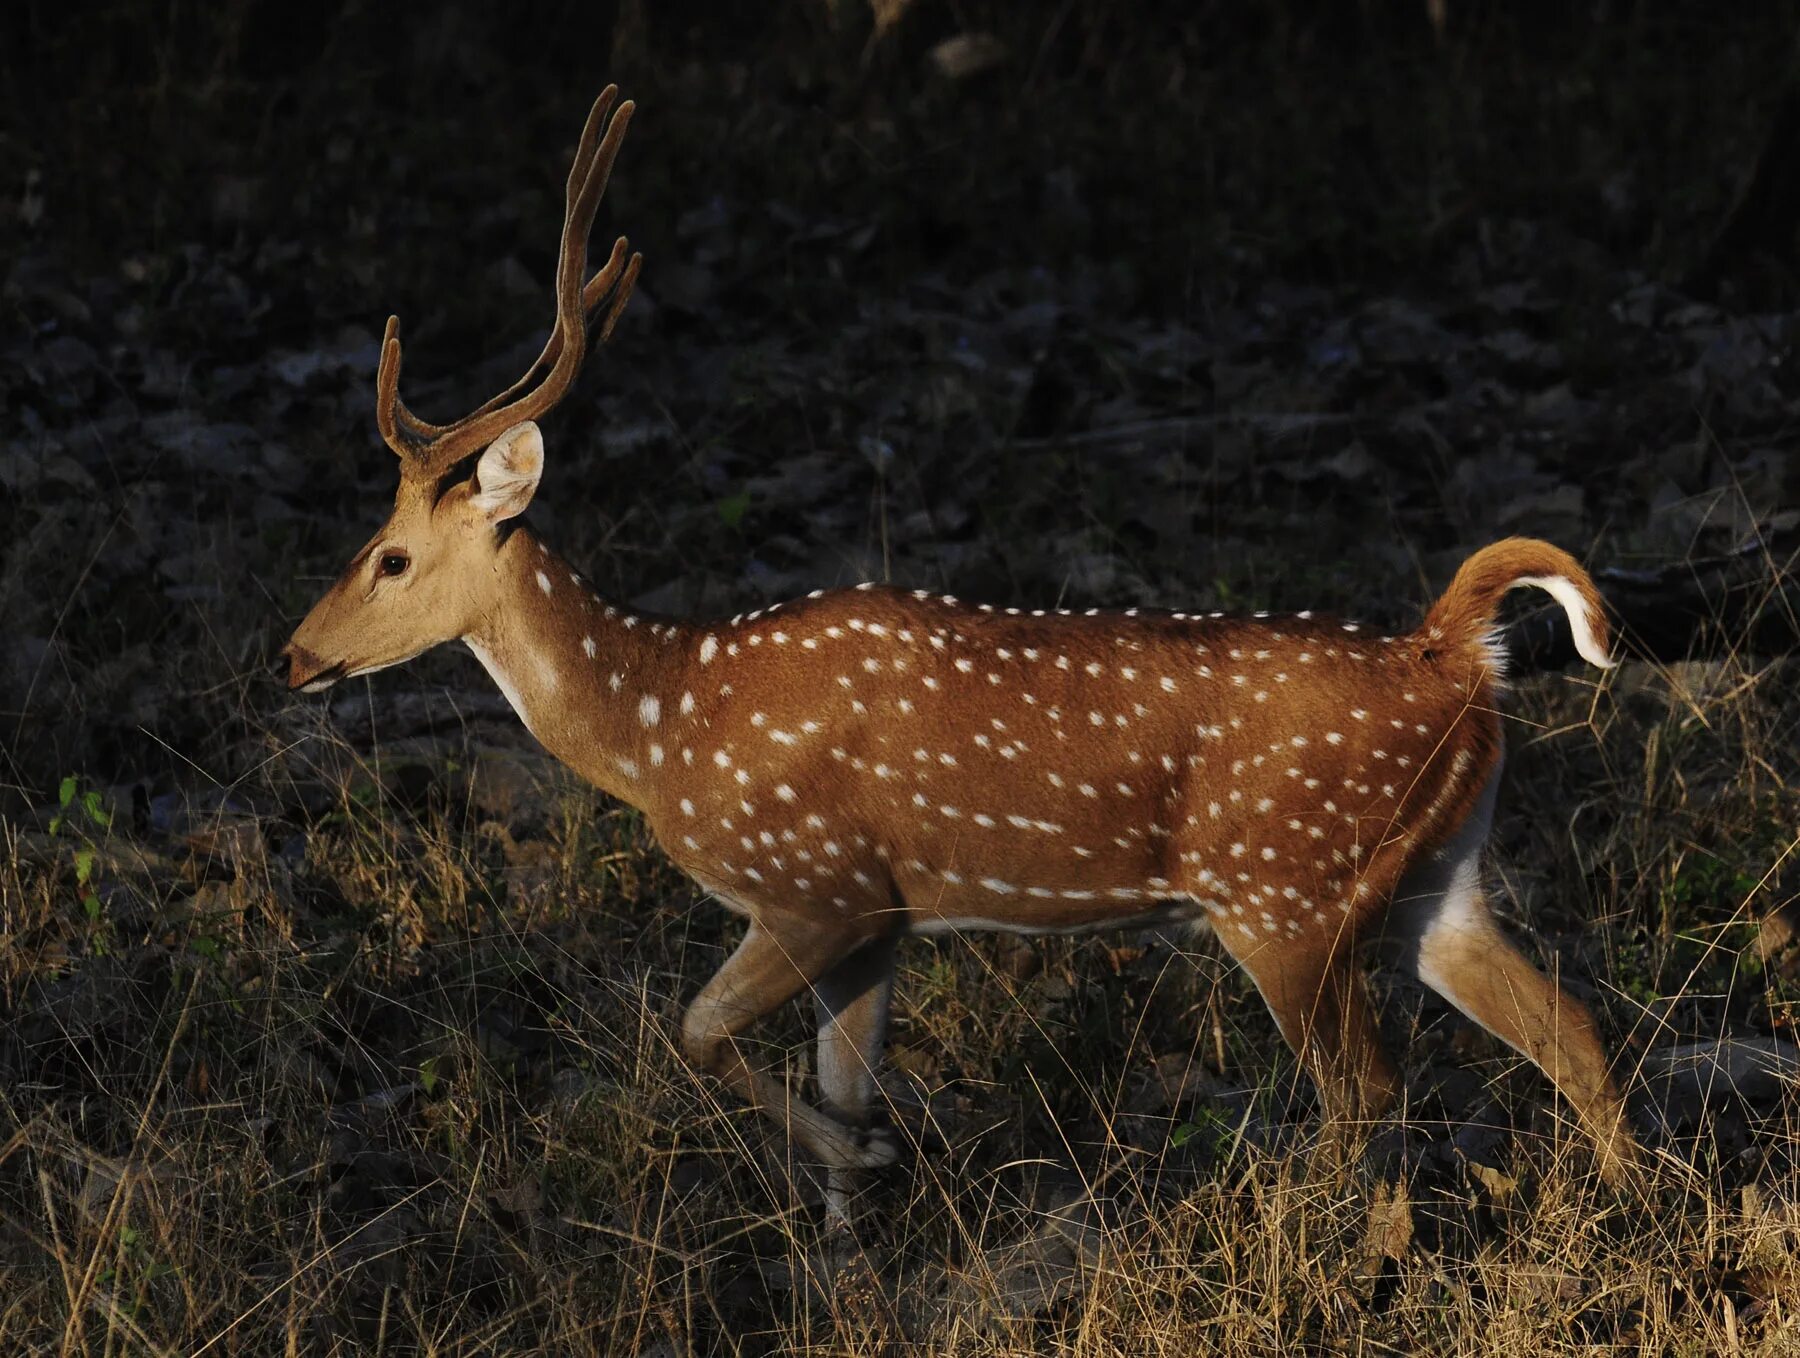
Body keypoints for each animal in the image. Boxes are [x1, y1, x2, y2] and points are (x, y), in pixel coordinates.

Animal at [280, 87, 1648, 1181]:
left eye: (391, 554)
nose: (294, 654)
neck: (663, 723)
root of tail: (1451, 651)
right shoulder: (881, 915)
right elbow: (833, 1083)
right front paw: (855, 1211)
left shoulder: (815, 883)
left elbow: (698, 1030)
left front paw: (868, 1152)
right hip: (1432, 873)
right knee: (1573, 1030)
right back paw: (1621, 1213)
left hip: (1286, 889)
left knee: (1371, 1095)